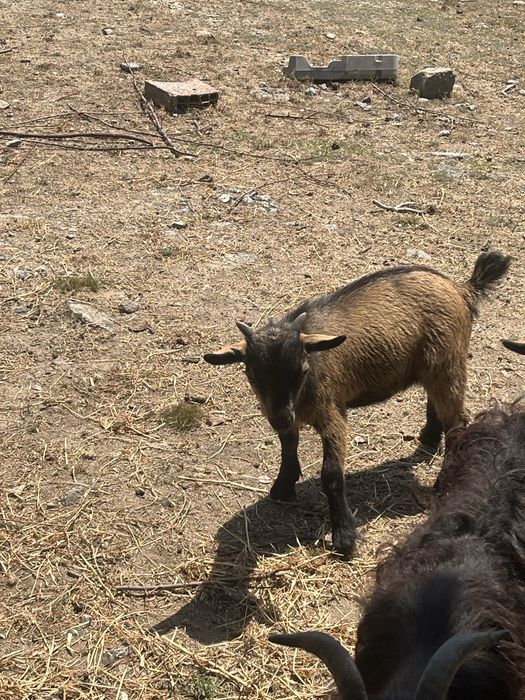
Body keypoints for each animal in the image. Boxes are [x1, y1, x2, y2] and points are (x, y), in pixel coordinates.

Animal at [204, 252, 510, 555]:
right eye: (252, 374)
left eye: (301, 370)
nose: (281, 417)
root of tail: (461, 289)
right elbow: (288, 446)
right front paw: (283, 487)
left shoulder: (332, 410)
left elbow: (330, 473)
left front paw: (344, 536)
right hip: (434, 367)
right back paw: (428, 437)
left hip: (449, 363)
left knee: (457, 422)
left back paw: (443, 483)